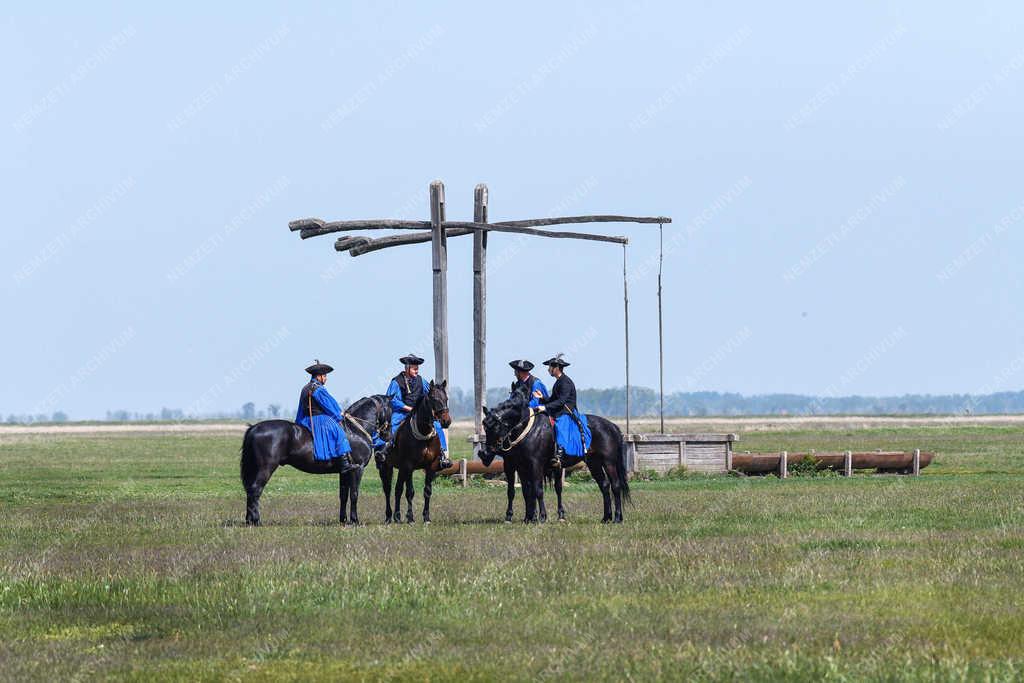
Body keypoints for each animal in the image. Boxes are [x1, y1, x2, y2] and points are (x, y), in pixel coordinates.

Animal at [239, 393, 391, 528]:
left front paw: (343, 520)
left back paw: (249, 521)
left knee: (250, 491)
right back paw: (256, 521)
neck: (355, 429)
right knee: (255, 490)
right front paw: (355, 521)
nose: (388, 436)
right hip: (265, 468)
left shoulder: (345, 472)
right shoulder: (358, 469)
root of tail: (254, 427)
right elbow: (354, 494)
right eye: (392, 408)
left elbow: (343, 495)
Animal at [378, 378, 450, 524]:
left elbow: (427, 491)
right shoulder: (409, 466)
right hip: (386, 467)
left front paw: (426, 517)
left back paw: (397, 516)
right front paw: (410, 517)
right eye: (434, 399)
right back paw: (389, 516)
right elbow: (410, 492)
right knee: (388, 490)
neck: (424, 435)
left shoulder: (431, 466)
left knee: (397, 489)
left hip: (401, 469)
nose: (446, 421)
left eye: (446, 398)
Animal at [481, 389, 630, 524]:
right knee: (604, 485)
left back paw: (617, 518)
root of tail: (612, 426)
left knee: (615, 485)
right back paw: (606, 518)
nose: (484, 454)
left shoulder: (535, 465)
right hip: (594, 463)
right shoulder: (520, 466)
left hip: (609, 463)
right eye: (485, 426)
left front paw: (541, 517)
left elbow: (537, 490)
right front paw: (527, 517)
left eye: (494, 427)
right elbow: (521, 491)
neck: (529, 429)